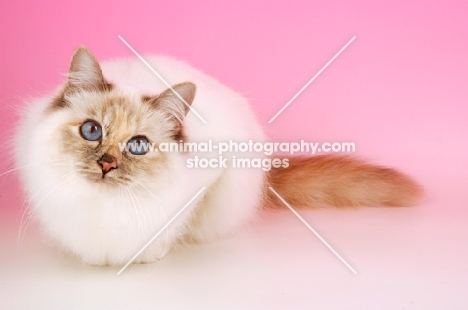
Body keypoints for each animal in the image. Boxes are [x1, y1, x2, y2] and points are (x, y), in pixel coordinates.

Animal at [12, 47, 422, 266]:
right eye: (91, 131)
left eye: (138, 146)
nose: (107, 164)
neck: (105, 207)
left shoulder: (206, 183)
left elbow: (169, 229)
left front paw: (148, 254)